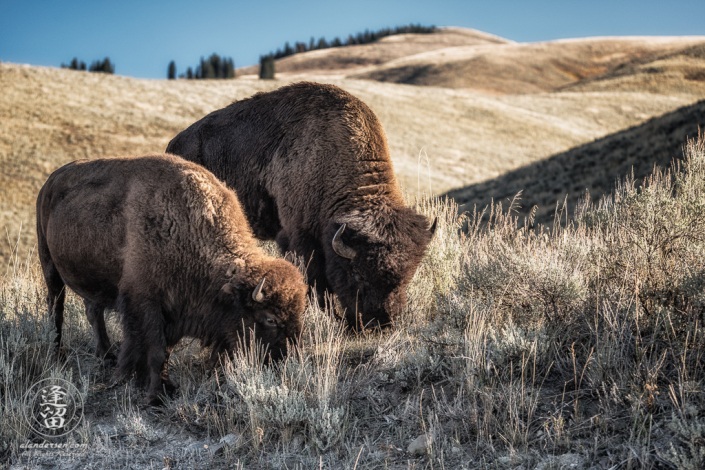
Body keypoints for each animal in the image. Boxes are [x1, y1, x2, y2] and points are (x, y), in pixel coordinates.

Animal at [35, 153, 306, 404]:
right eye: (270, 319)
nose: (288, 360)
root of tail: (50, 181)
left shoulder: (174, 311)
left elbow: (163, 350)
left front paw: (150, 383)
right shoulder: (147, 304)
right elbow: (156, 350)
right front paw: (156, 395)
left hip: (92, 280)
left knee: (93, 311)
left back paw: (107, 356)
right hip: (49, 265)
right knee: (56, 308)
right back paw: (57, 354)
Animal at [168, 81, 434, 330]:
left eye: (407, 276)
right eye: (358, 274)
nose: (381, 321)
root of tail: (173, 145)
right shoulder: (299, 237)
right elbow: (314, 283)